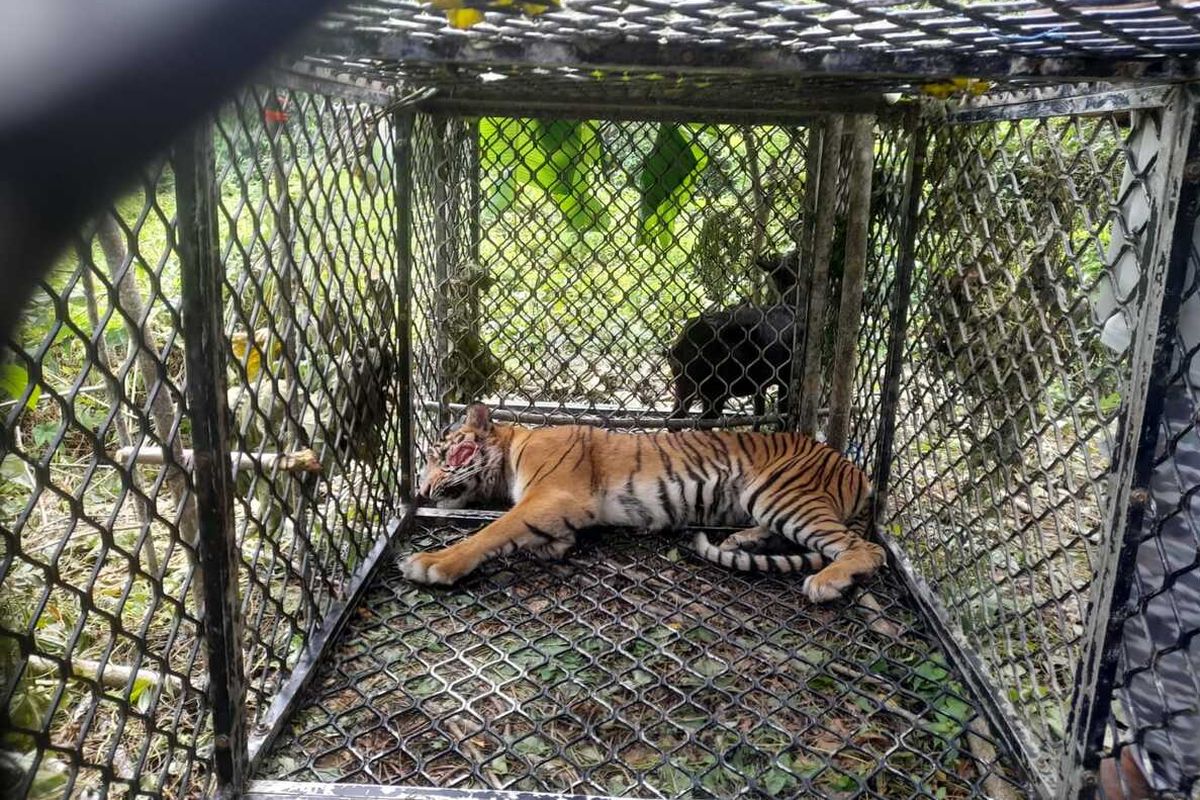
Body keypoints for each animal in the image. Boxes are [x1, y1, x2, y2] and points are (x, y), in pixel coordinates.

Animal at [408, 402, 888, 604]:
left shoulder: (553, 495)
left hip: (781, 493)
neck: (511, 451)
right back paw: (741, 540)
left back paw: (828, 582)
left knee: (867, 548)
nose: (424, 492)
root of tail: (853, 467)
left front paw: (433, 563)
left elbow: (492, 531)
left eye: (446, 456)